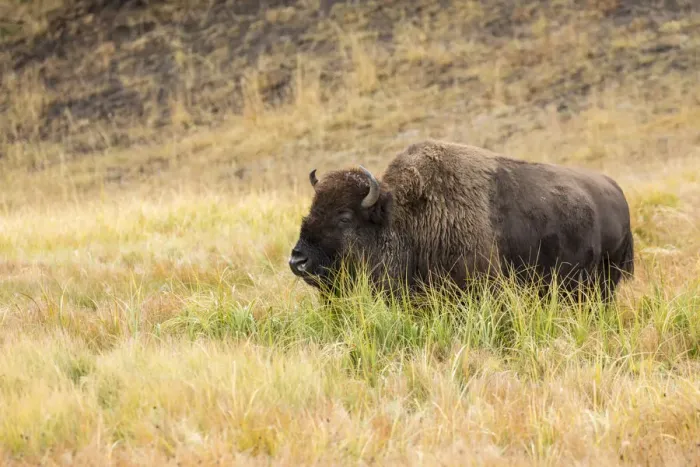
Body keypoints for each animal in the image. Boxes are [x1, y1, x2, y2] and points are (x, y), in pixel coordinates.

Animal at [289, 139, 634, 302]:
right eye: (312, 209)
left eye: (345, 216)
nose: (297, 260)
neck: (404, 217)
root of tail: (615, 190)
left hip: (603, 281)